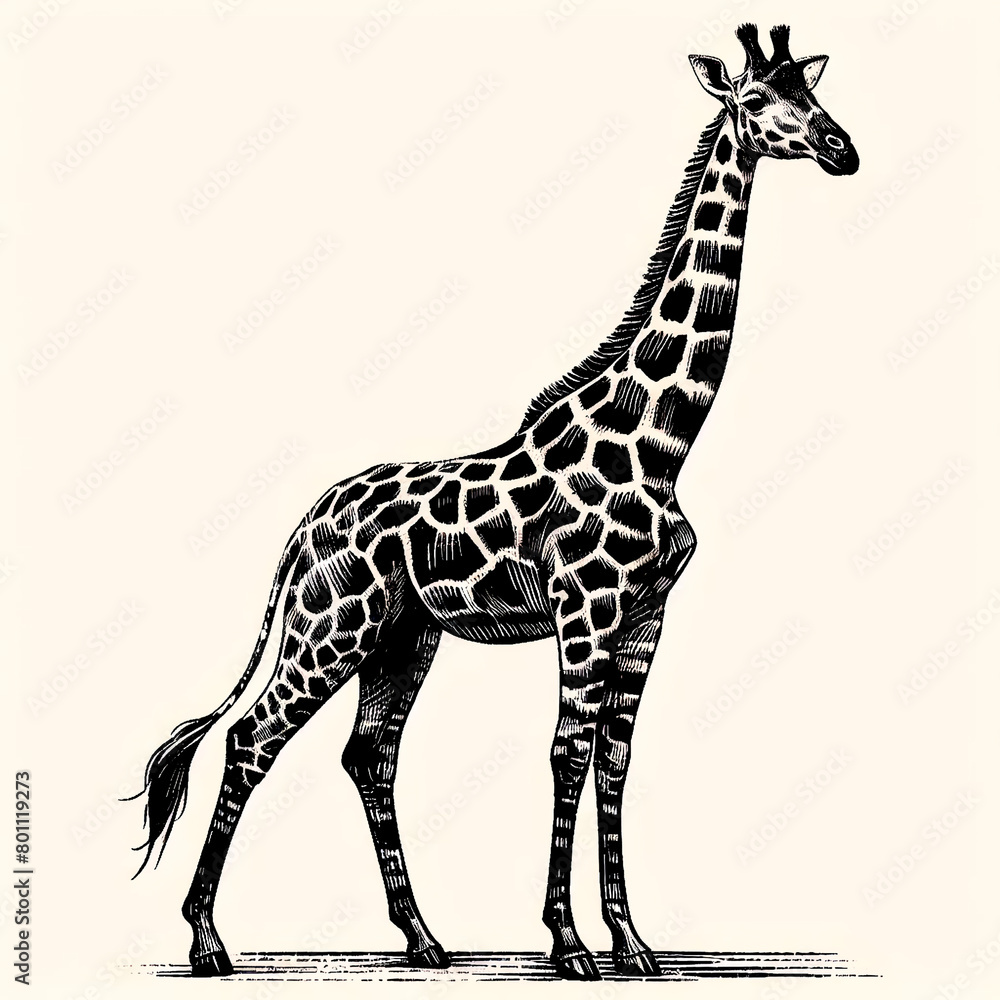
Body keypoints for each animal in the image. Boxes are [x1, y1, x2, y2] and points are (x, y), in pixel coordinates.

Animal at [133, 24, 858, 982]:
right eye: (758, 101)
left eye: (810, 93)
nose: (843, 149)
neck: (659, 444)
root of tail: (302, 528)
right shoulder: (586, 608)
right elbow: (568, 753)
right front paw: (569, 943)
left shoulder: (644, 616)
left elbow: (615, 760)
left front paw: (632, 942)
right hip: (332, 630)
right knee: (254, 739)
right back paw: (208, 941)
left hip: (401, 637)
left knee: (368, 754)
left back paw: (423, 938)